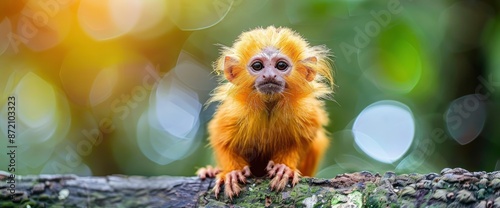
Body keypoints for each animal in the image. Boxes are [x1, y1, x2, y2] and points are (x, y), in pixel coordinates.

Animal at [197, 25, 334, 198]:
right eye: (258, 66)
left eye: (281, 66)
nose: (269, 75)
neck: (269, 107)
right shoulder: (234, 113)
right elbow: (221, 140)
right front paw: (231, 172)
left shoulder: (306, 113)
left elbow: (300, 142)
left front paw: (284, 168)